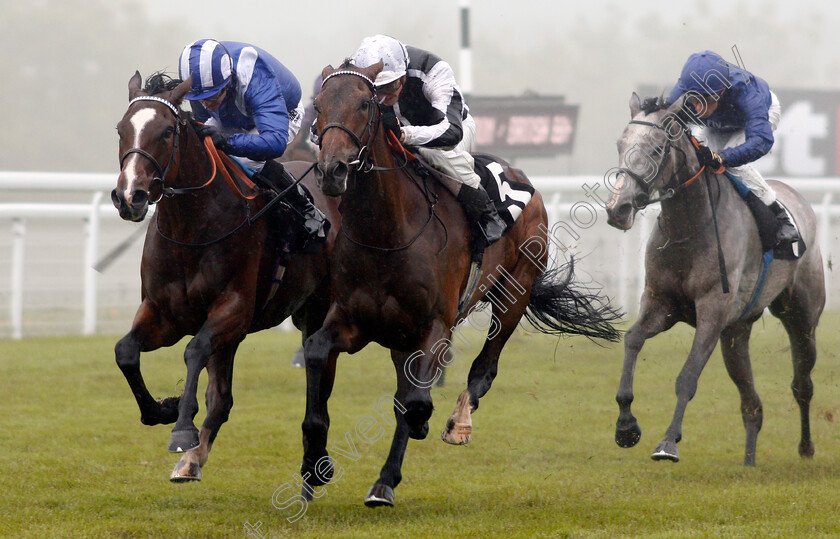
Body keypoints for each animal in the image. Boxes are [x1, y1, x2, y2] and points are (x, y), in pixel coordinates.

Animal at [113, 71, 340, 480]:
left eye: (167, 132)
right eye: (121, 129)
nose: (129, 197)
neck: (191, 229)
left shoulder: (233, 309)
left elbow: (193, 350)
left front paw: (181, 428)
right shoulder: (163, 313)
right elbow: (125, 352)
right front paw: (164, 410)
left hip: (318, 310)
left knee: (320, 375)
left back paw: (317, 457)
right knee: (222, 398)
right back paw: (193, 460)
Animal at [298, 61, 620, 508]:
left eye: (364, 103)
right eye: (318, 105)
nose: (332, 170)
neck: (388, 233)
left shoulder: (435, 326)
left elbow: (414, 401)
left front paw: (415, 434)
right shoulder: (352, 320)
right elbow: (316, 353)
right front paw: (315, 464)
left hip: (513, 293)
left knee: (484, 367)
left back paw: (455, 424)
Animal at [604, 92, 828, 464]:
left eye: (657, 149)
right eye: (621, 144)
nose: (617, 209)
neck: (688, 227)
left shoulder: (712, 310)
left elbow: (687, 376)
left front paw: (668, 442)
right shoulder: (661, 303)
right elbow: (632, 340)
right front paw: (625, 427)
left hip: (801, 317)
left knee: (802, 384)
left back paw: (807, 448)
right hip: (736, 333)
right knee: (752, 405)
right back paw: (749, 462)